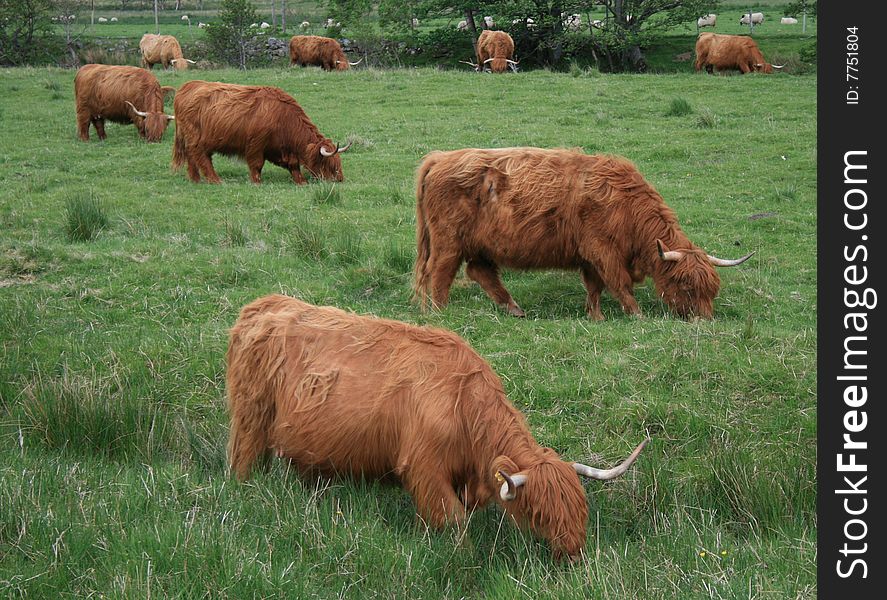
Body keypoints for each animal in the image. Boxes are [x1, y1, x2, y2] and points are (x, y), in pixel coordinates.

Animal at [172, 79, 348, 184]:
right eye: (328, 163)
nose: (340, 178)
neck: (283, 118)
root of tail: (188, 86)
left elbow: (294, 166)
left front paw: (301, 182)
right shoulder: (256, 144)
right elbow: (256, 165)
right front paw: (256, 182)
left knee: (192, 156)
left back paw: (195, 179)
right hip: (196, 138)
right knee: (200, 156)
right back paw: (215, 180)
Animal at [225, 292, 648, 560]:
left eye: (581, 509)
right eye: (539, 513)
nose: (574, 554)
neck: (464, 408)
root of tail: (262, 305)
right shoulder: (425, 469)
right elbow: (454, 523)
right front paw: (463, 558)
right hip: (250, 418)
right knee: (244, 460)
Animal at [412, 146, 752, 318]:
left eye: (712, 290)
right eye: (686, 285)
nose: (704, 320)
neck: (628, 206)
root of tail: (440, 157)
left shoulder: (589, 256)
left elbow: (594, 287)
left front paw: (595, 316)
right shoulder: (602, 250)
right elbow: (619, 284)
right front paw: (637, 315)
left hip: (480, 245)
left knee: (480, 272)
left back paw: (514, 309)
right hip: (448, 241)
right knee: (438, 273)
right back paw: (439, 313)